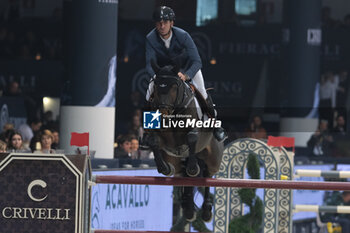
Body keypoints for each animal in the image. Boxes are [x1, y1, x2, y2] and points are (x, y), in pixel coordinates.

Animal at [146, 62, 224, 222]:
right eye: (156, 86)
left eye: (174, 86)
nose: (163, 114)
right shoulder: (163, 141)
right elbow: (154, 141)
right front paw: (164, 168)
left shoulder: (193, 132)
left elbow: (192, 138)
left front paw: (193, 168)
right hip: (176, 161)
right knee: (183, 175)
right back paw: (188, 208)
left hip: (213, 160)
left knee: (207, 174)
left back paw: (206, 211)